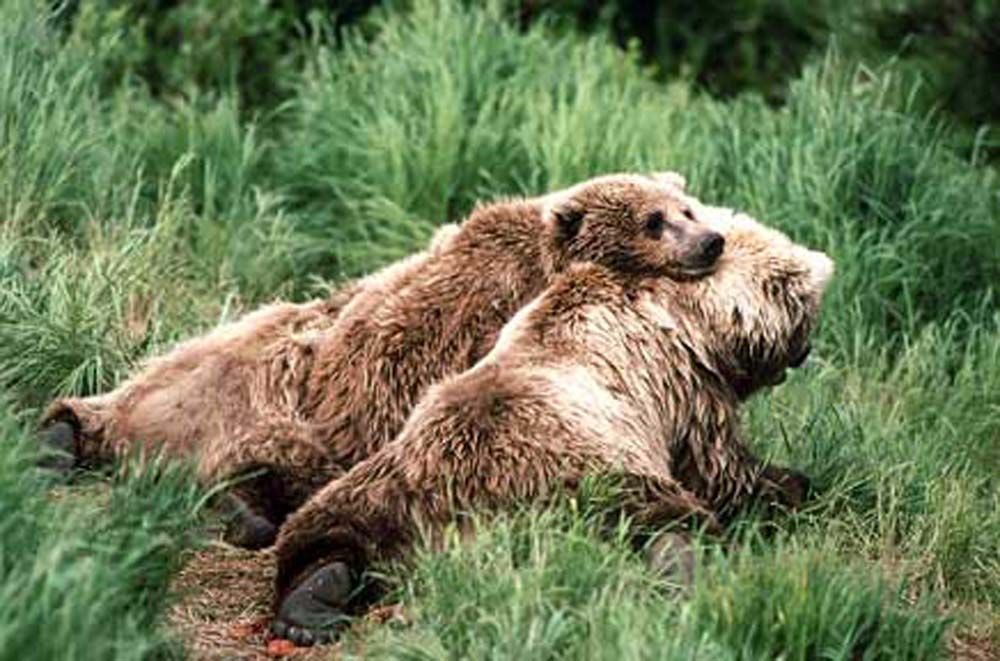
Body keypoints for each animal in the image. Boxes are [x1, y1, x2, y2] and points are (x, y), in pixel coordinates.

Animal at [266, 207, 834, 645]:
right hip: (585, 468)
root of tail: (471, 525)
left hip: (393, 479)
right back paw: (687, 569)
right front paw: (791, 482)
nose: (805, 353)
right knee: (661, 514)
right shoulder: (684, 385)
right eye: (805, 308)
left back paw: (309, 606)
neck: (686, 313)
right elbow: (719, 468)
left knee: (327, 531)